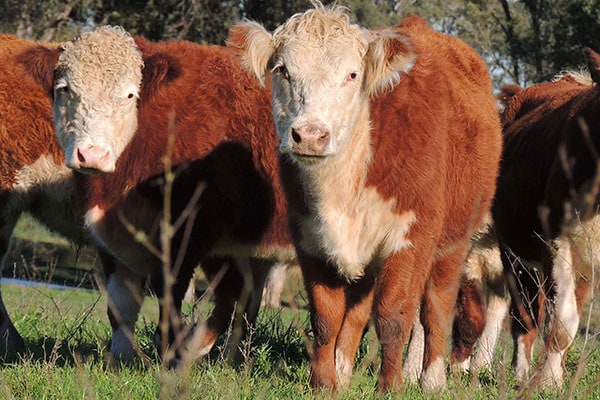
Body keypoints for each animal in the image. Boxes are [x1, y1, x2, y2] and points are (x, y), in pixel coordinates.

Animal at [227, 2, 504, 390]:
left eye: (352, 74)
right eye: (282, 71)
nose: (310, 135)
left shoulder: (409, 239)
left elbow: (392, 316)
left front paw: (390, 386)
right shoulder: (310, 237)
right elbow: (326, 317)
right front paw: (323, 383)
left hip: (454, 242)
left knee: (436, 307)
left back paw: (431, 378)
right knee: (358, 310)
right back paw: (344, 370)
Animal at [492, 51, 600, 390]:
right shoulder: (555, 241)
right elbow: (562, 323)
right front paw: (549, 382)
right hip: (515, 254)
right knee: (526, 317)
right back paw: (522, 373)